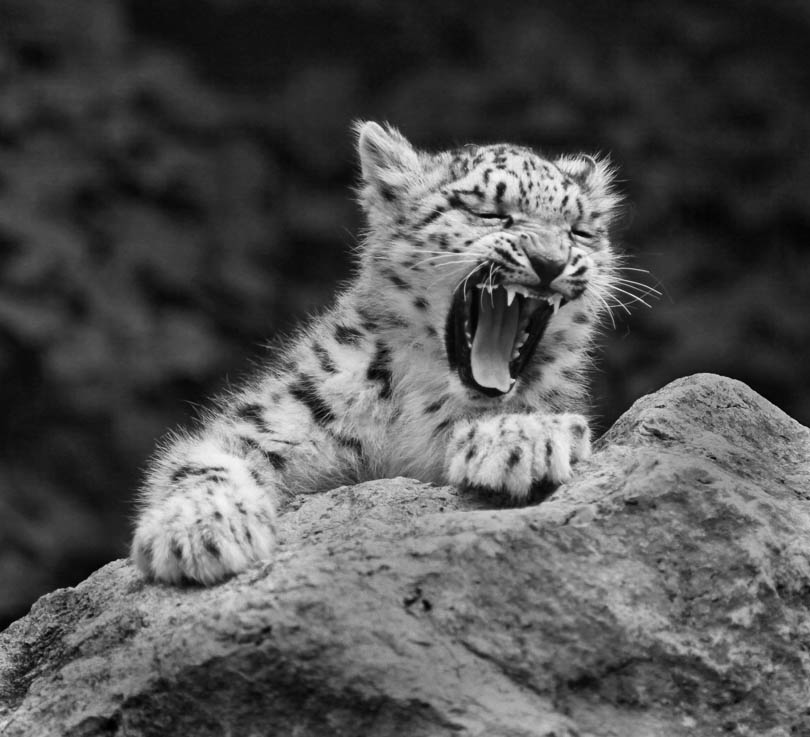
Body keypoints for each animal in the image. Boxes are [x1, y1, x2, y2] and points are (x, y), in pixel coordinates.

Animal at [131, 121, 623, 584]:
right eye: (488, 212)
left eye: (579, 232)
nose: (550, 261)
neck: (422, 397)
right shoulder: (271, 421)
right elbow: (202, 463)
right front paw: (201, 531)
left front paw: (525, 438)